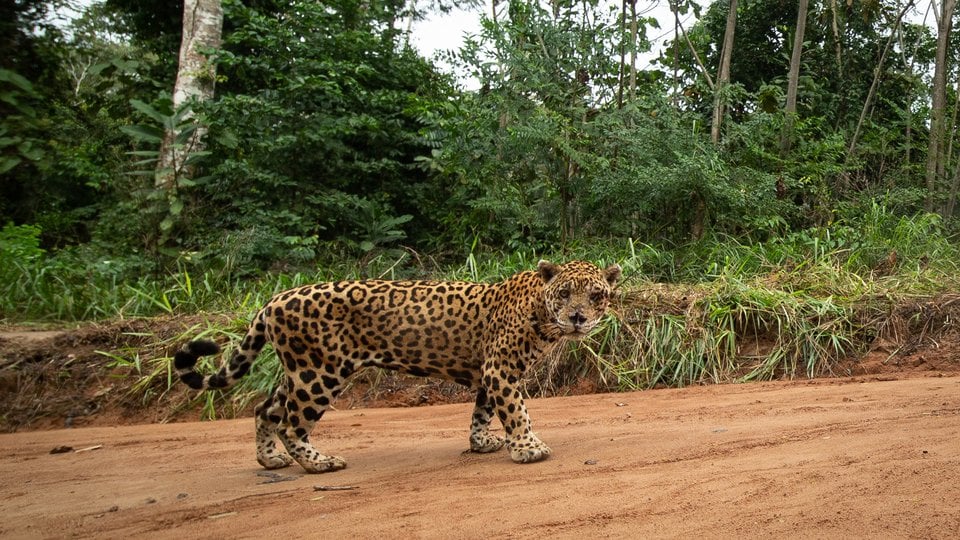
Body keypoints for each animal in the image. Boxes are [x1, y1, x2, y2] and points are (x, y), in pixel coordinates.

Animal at [174, 260, 621, 474]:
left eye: (596, 295)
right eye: (564, 293)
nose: (577, 317)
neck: (540, 313)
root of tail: (273, 300)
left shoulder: (487, 373)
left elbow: (482, 412)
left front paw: (482, 442)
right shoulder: (500, 370)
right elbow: (515, 411)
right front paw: (528, 448)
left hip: (300, 369)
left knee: (265, 409)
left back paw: (270, 460)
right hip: (319, 373)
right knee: (290, 422)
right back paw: (319, 463)